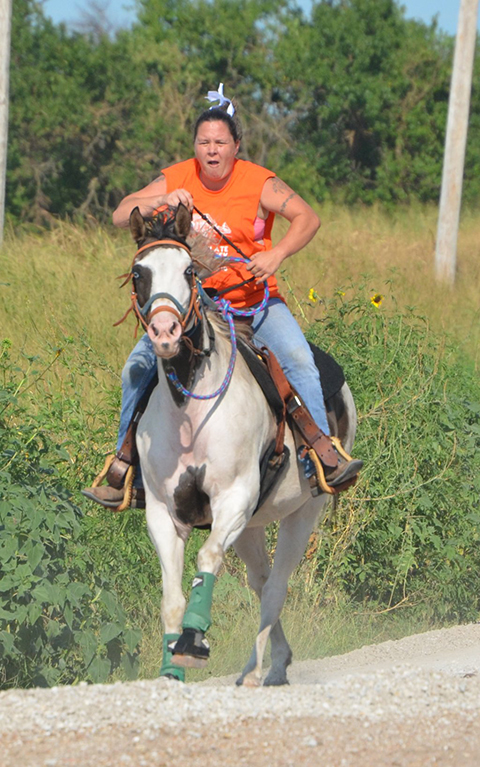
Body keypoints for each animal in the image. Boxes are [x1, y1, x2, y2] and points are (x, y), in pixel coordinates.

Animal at [128, 204, 358, 687]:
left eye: (188, 270)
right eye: (139, 273)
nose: (165, 331)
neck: (190, 413)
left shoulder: (233, 498)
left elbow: (208, 558)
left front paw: (193, 641)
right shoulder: (163, 511)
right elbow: (172, 597)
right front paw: (170, 668)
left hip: (304, 511)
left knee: (275, 587)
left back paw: (256, 672)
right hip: (252, 524)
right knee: (262, 579)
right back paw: (278, 660)